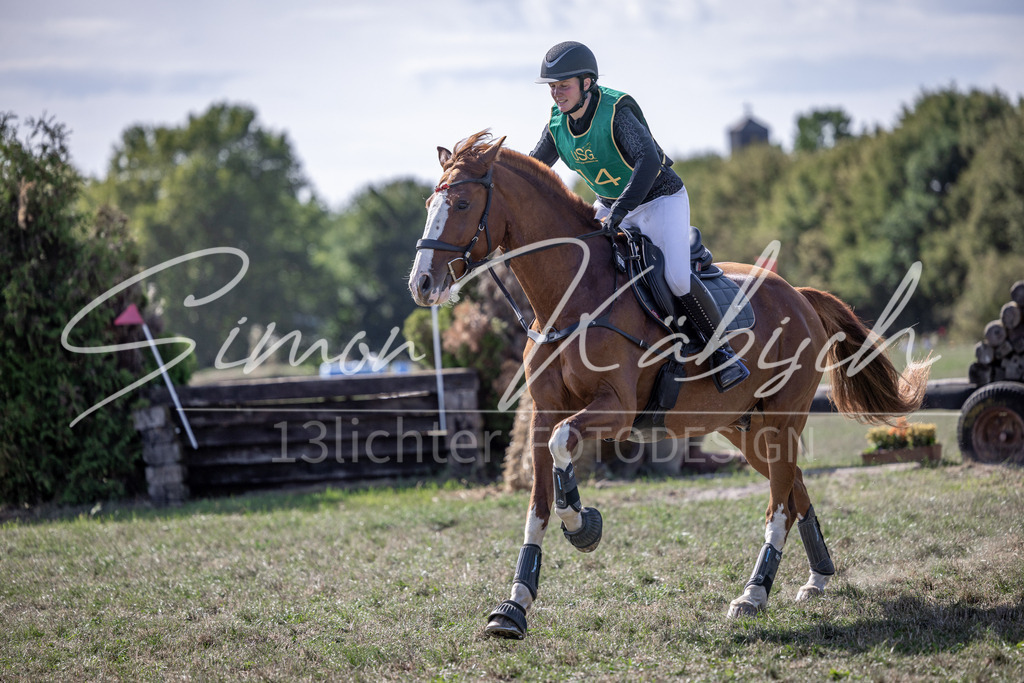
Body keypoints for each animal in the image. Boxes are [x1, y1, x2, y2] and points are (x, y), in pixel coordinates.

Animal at [408, 131, 930, 639]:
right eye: (428, 204)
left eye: (461, 205)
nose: (422, 283)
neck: (572, 296)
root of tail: (799, 295)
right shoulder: (543, 412)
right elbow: (537, 504)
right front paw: (514, 607)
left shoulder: (615, 409)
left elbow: (563, 448)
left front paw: (582, 524)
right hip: (743, 427)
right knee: (794, 485)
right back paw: (817, 578)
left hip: (782, 419)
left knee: (779, 502)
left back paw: (754, 594)